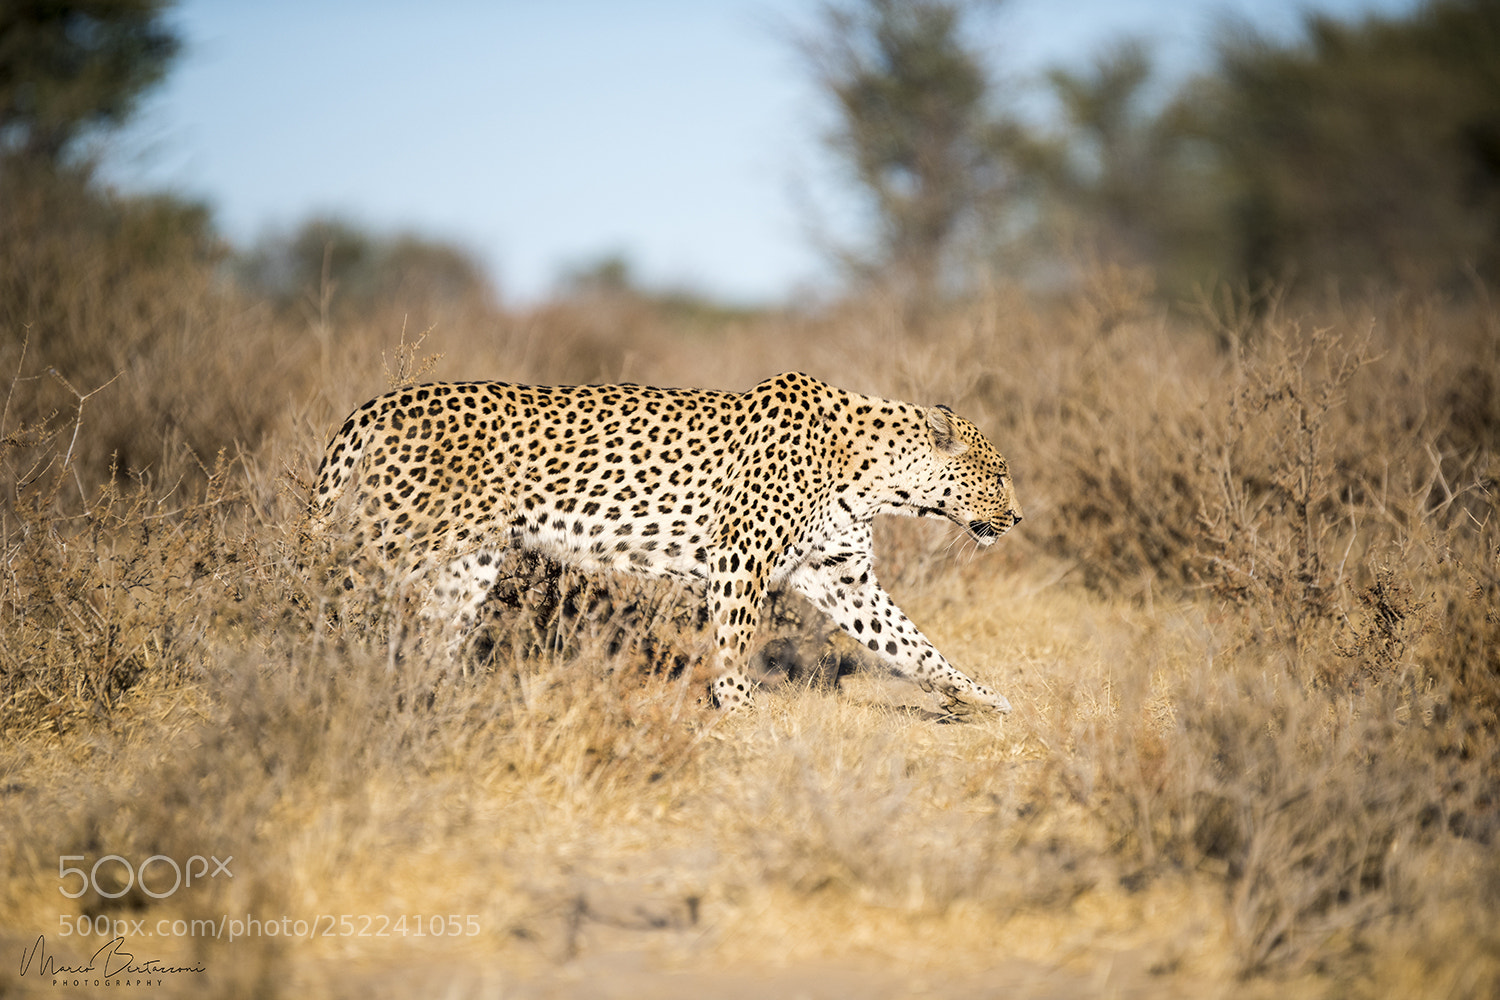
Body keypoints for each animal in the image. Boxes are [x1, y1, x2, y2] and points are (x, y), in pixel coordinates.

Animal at [304, 371, 1022, 713]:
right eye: (998, 473)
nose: (1018, 518)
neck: (880, 477)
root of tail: (384, 400)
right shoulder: (740, 560)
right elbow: (733, 643)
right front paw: (738, 710)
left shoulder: (839, 576)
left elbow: (911, 643)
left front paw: (980, 697)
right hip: (392, 537)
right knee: (330, 592)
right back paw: (317, 673)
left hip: (467, 562)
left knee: (435, 633)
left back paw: (435, 698)